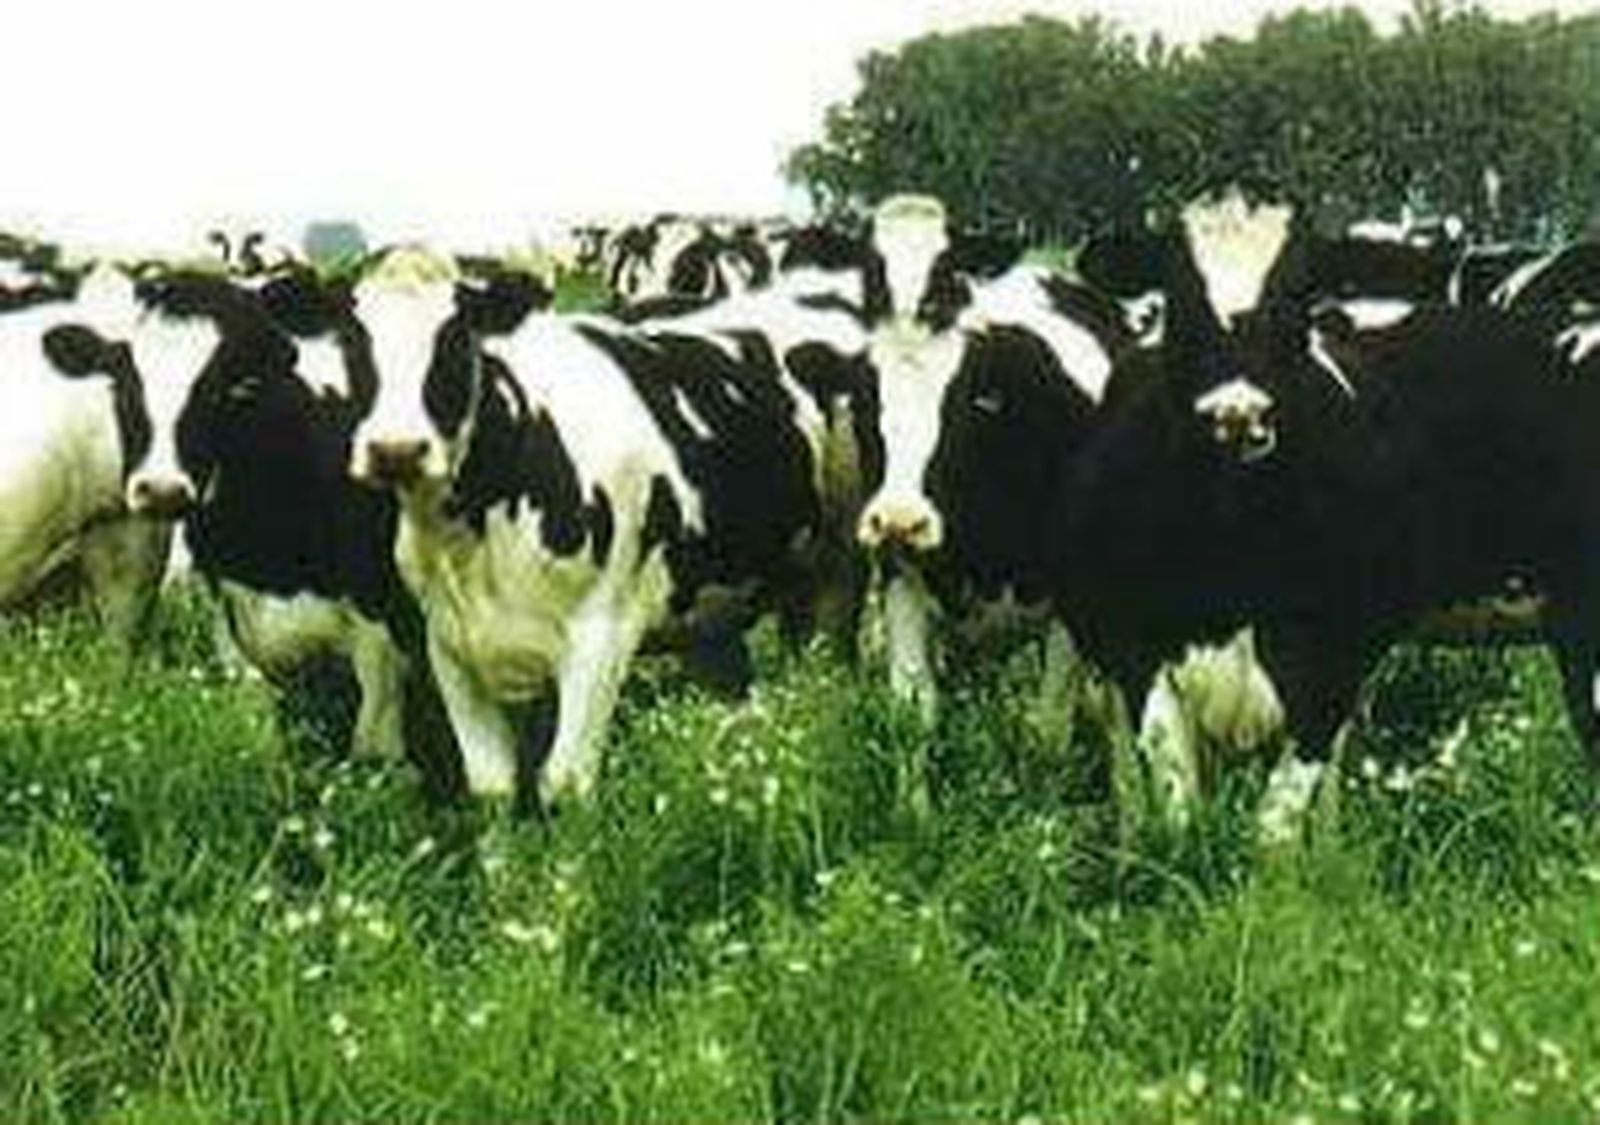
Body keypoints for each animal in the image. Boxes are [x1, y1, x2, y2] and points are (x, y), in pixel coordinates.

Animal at [340, 247, 824, 805]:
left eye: (455, 338)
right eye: (352, 342)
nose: (395, 450)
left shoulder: (603, 633)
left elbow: (565, 780)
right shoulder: (448, 642)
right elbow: (491, 782)